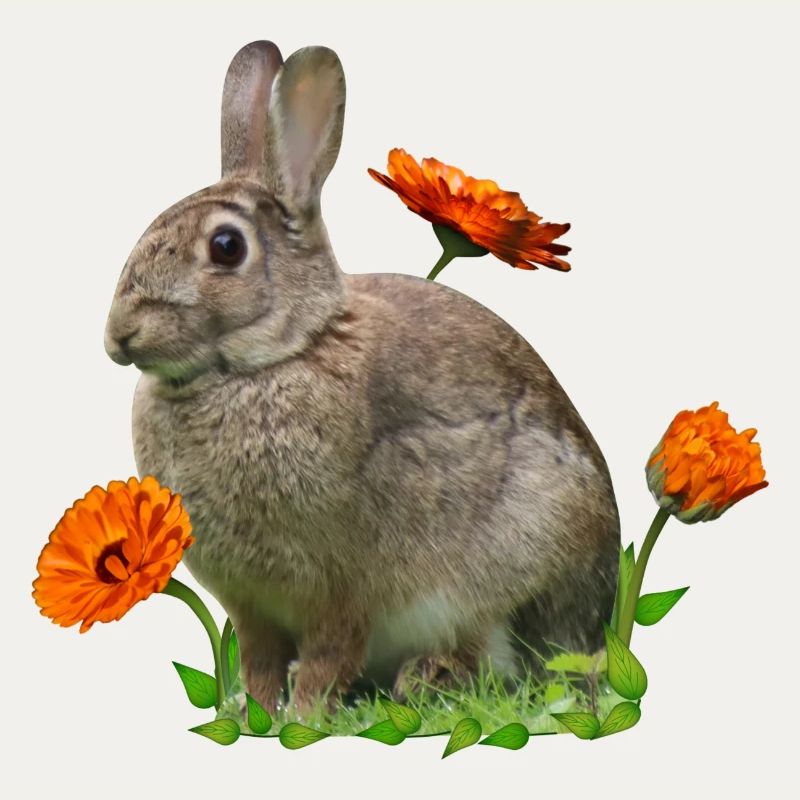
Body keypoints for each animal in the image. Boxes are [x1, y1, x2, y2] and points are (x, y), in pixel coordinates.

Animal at [104, 41, 620, 712]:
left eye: (226, 247)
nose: (119, 334)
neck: (274, 357)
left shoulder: (339, 589)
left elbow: (329, 656)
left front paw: (302, 717)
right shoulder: (253, 608)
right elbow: (261, 663)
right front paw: (255, 713)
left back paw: (428, 678)